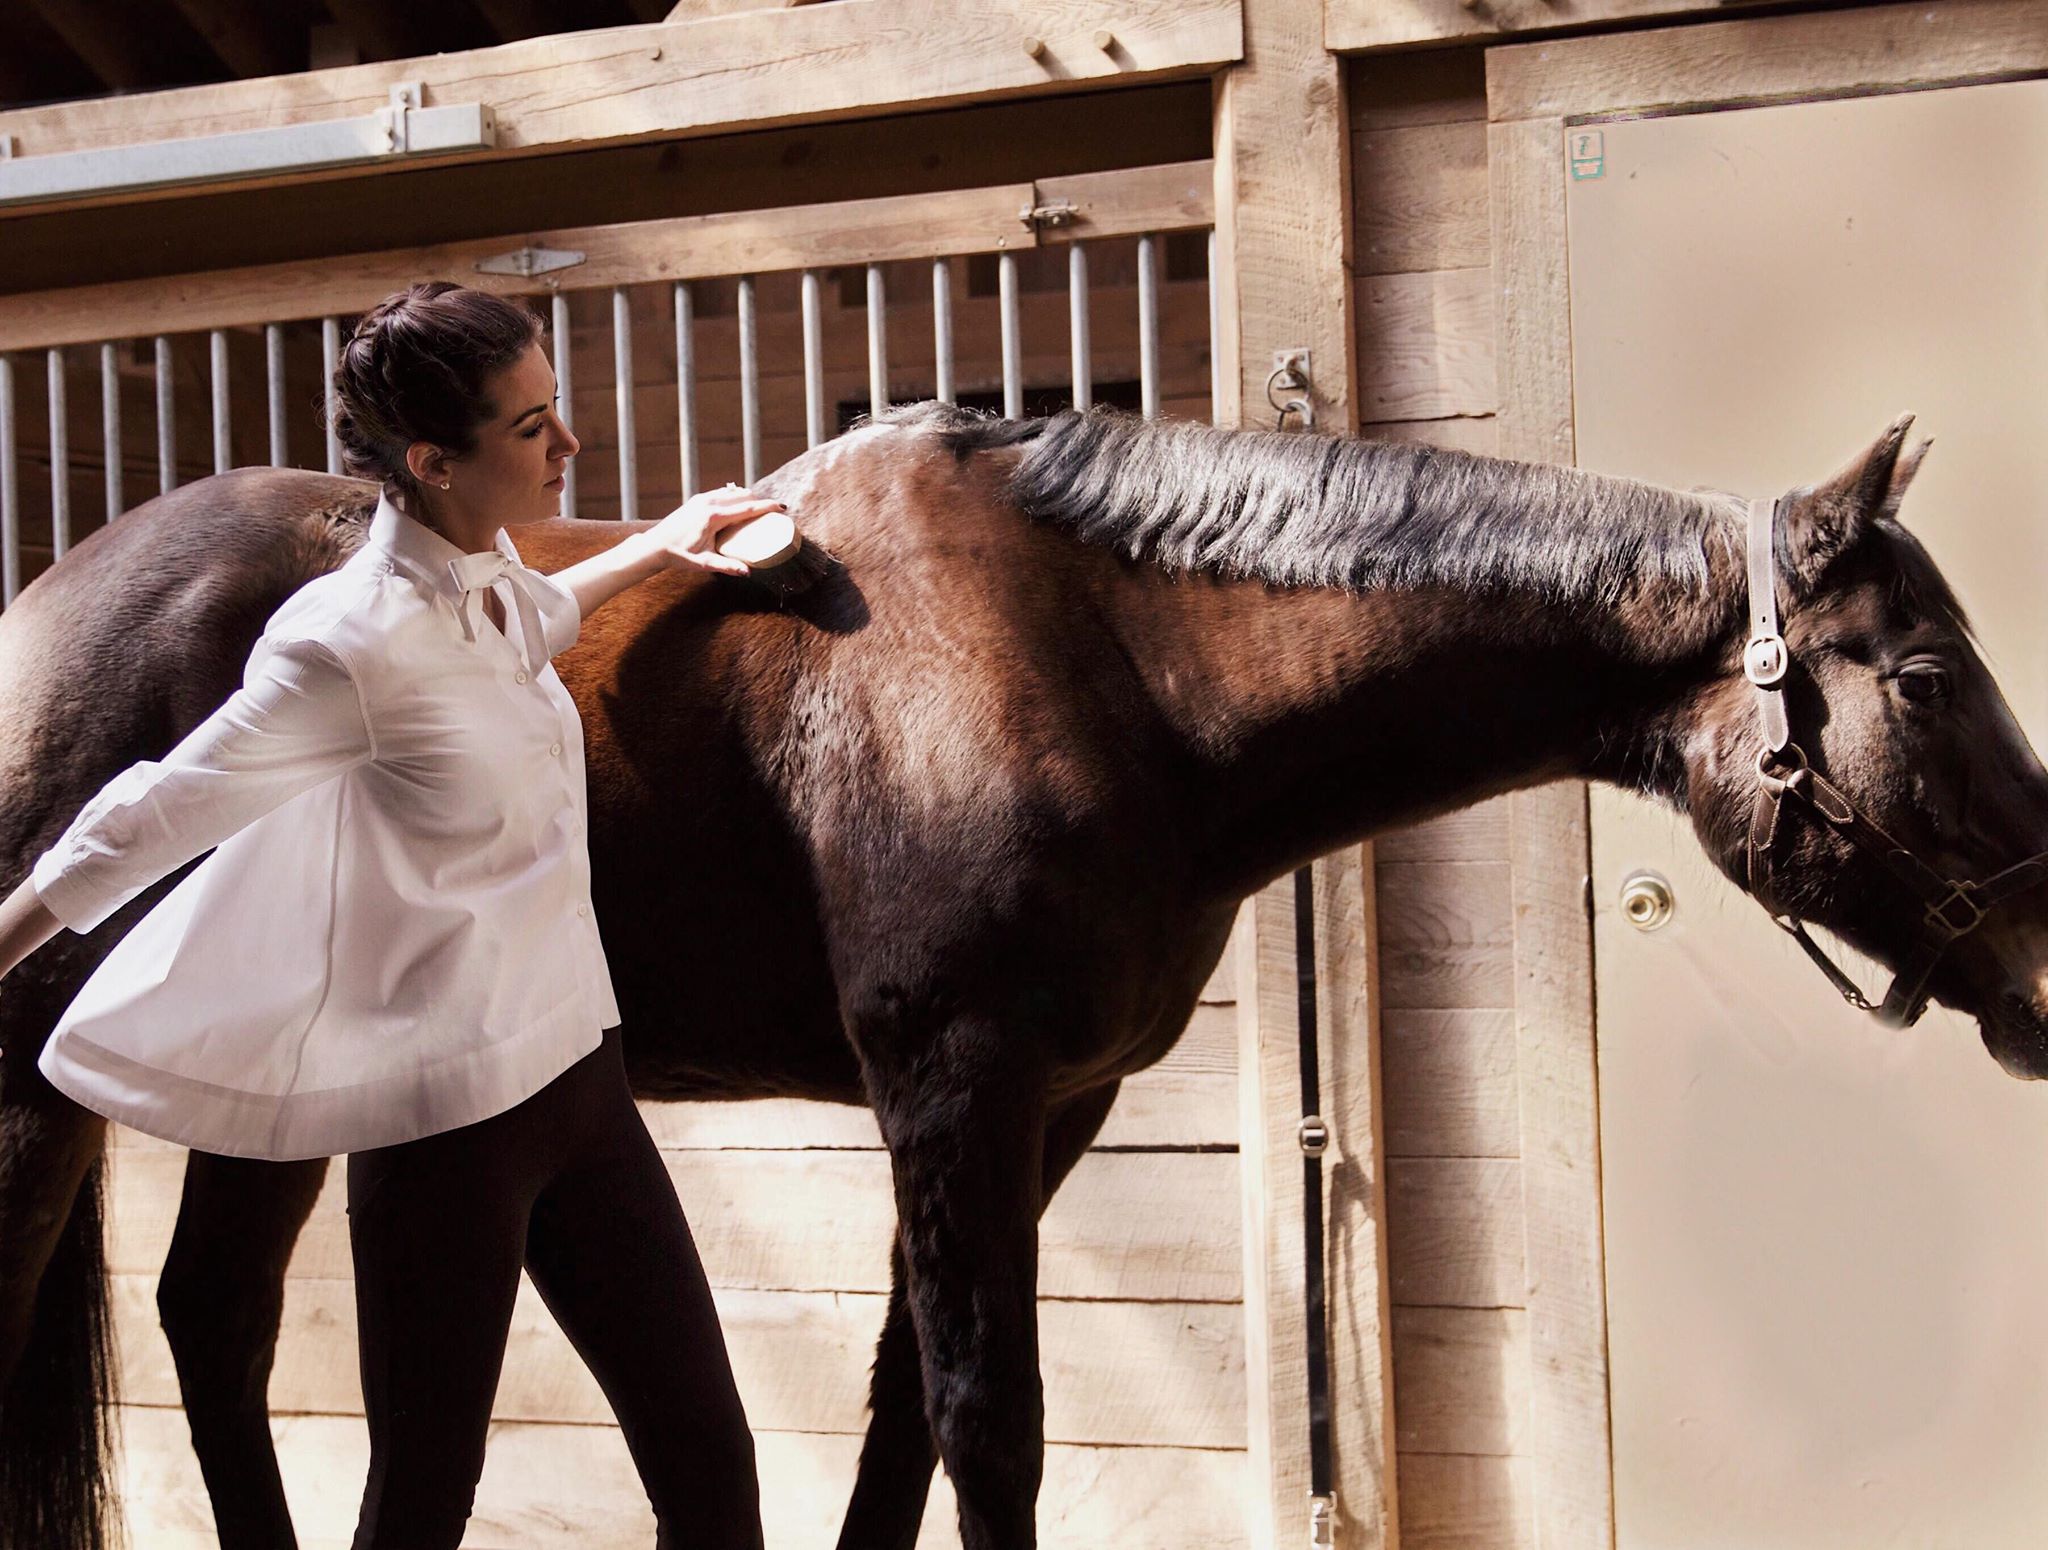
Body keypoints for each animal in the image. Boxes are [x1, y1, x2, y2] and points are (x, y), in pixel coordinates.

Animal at [4, 401, 2048, 1547]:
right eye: (1926, 674)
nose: (2043, 962)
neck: (1111, 659)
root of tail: (54, 591)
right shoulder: (954, 1088)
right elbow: (992, 1427)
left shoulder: (1049, 1111)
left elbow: (911, 1415)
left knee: (212, 1319)